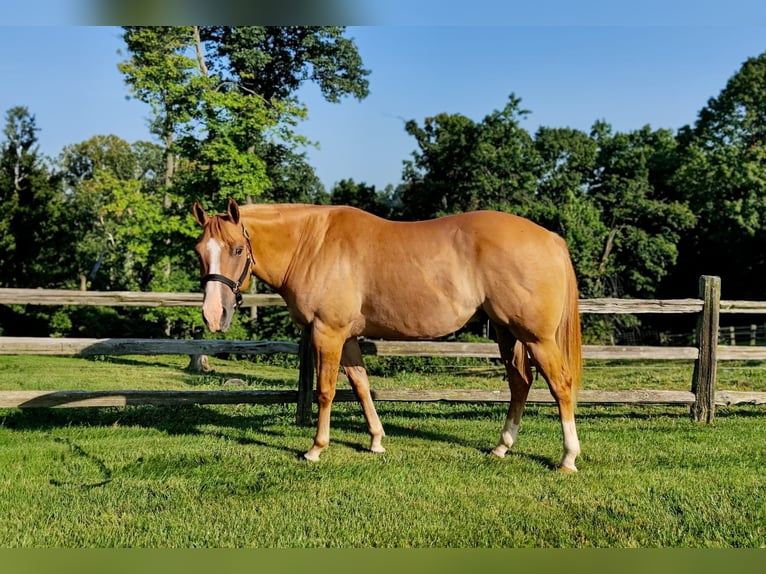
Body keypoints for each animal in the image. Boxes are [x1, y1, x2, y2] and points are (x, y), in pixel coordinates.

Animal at [192, 198, 584, 472]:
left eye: (237, 249)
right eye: (199, 252)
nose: (213, 314)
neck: (312, 245)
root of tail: (550, 238)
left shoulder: (327, 333)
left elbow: (325, 391)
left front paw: (316, 448)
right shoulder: (347, 338)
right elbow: (362, 385)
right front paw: (376, 440)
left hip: (536, 338)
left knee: (560, 385)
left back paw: (568, 457)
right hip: (507, 332)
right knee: (520, 383)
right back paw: (502, 446)